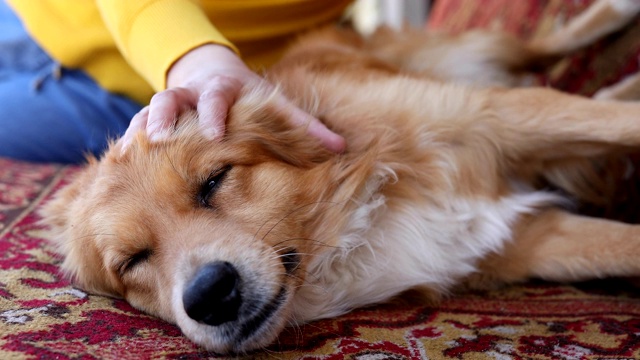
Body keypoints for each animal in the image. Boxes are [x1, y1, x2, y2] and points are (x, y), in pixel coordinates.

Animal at [42, 0, 640, 354]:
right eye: (132, 261)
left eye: (214, 180)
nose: (210, 295)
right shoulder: (526, 244)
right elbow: (623, 244)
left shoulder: (500, 117)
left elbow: (618, 124)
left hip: (462, 57)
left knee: (539, 49)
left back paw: (614, 19)